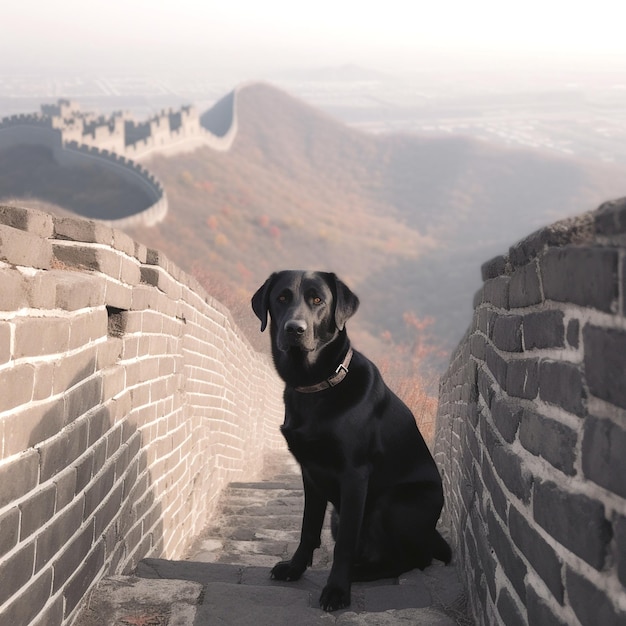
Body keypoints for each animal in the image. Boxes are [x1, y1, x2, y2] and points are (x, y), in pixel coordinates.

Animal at [250, 270, 448, 608]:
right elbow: (308, 529)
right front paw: (295, 568)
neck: (316, 387)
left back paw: (358, 574)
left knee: (409, 559)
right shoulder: (310, 473)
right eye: (282, 298)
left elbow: (343, 545)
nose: (295, 329)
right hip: (338, 513)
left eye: (318, 299)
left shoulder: (354, 476)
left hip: (392, 503)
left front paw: (337, 590)